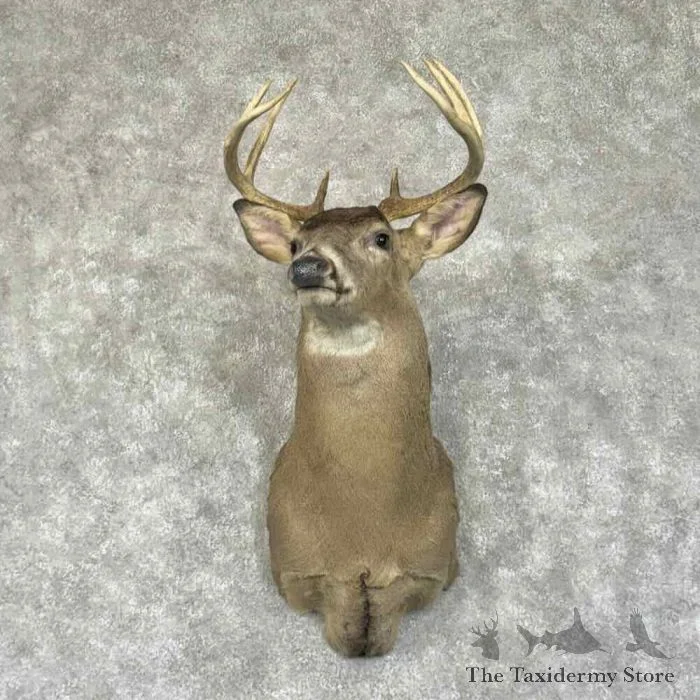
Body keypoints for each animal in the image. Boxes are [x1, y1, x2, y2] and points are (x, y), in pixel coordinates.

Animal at [224, 59, 487, 657]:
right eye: (296, 243)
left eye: (382, 238)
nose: (307, 268)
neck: (363, 530)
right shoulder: (293, 564)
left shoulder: (437, 562)